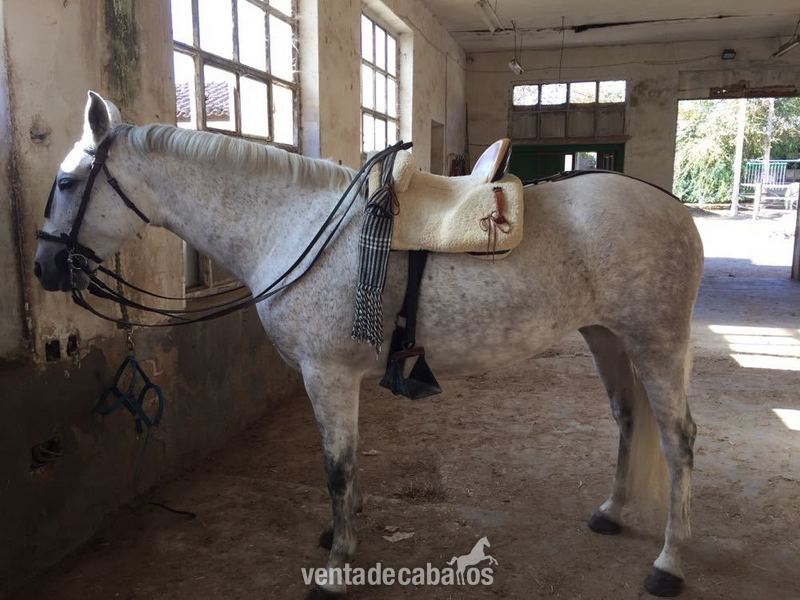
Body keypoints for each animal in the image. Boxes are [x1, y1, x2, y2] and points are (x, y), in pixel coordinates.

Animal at [34, 92, 703, 598]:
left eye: (67, 182)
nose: (44, 267)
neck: (294, 225)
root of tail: (672, 206)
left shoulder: (326, 373)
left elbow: (336, 466)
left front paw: (336, 569)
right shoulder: (337, 378)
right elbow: (347, 465)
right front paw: (341, 536)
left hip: (657, 343)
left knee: (678, 441)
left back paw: (669, 565)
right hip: (607, 337)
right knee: (627, 419)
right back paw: (611, 513)